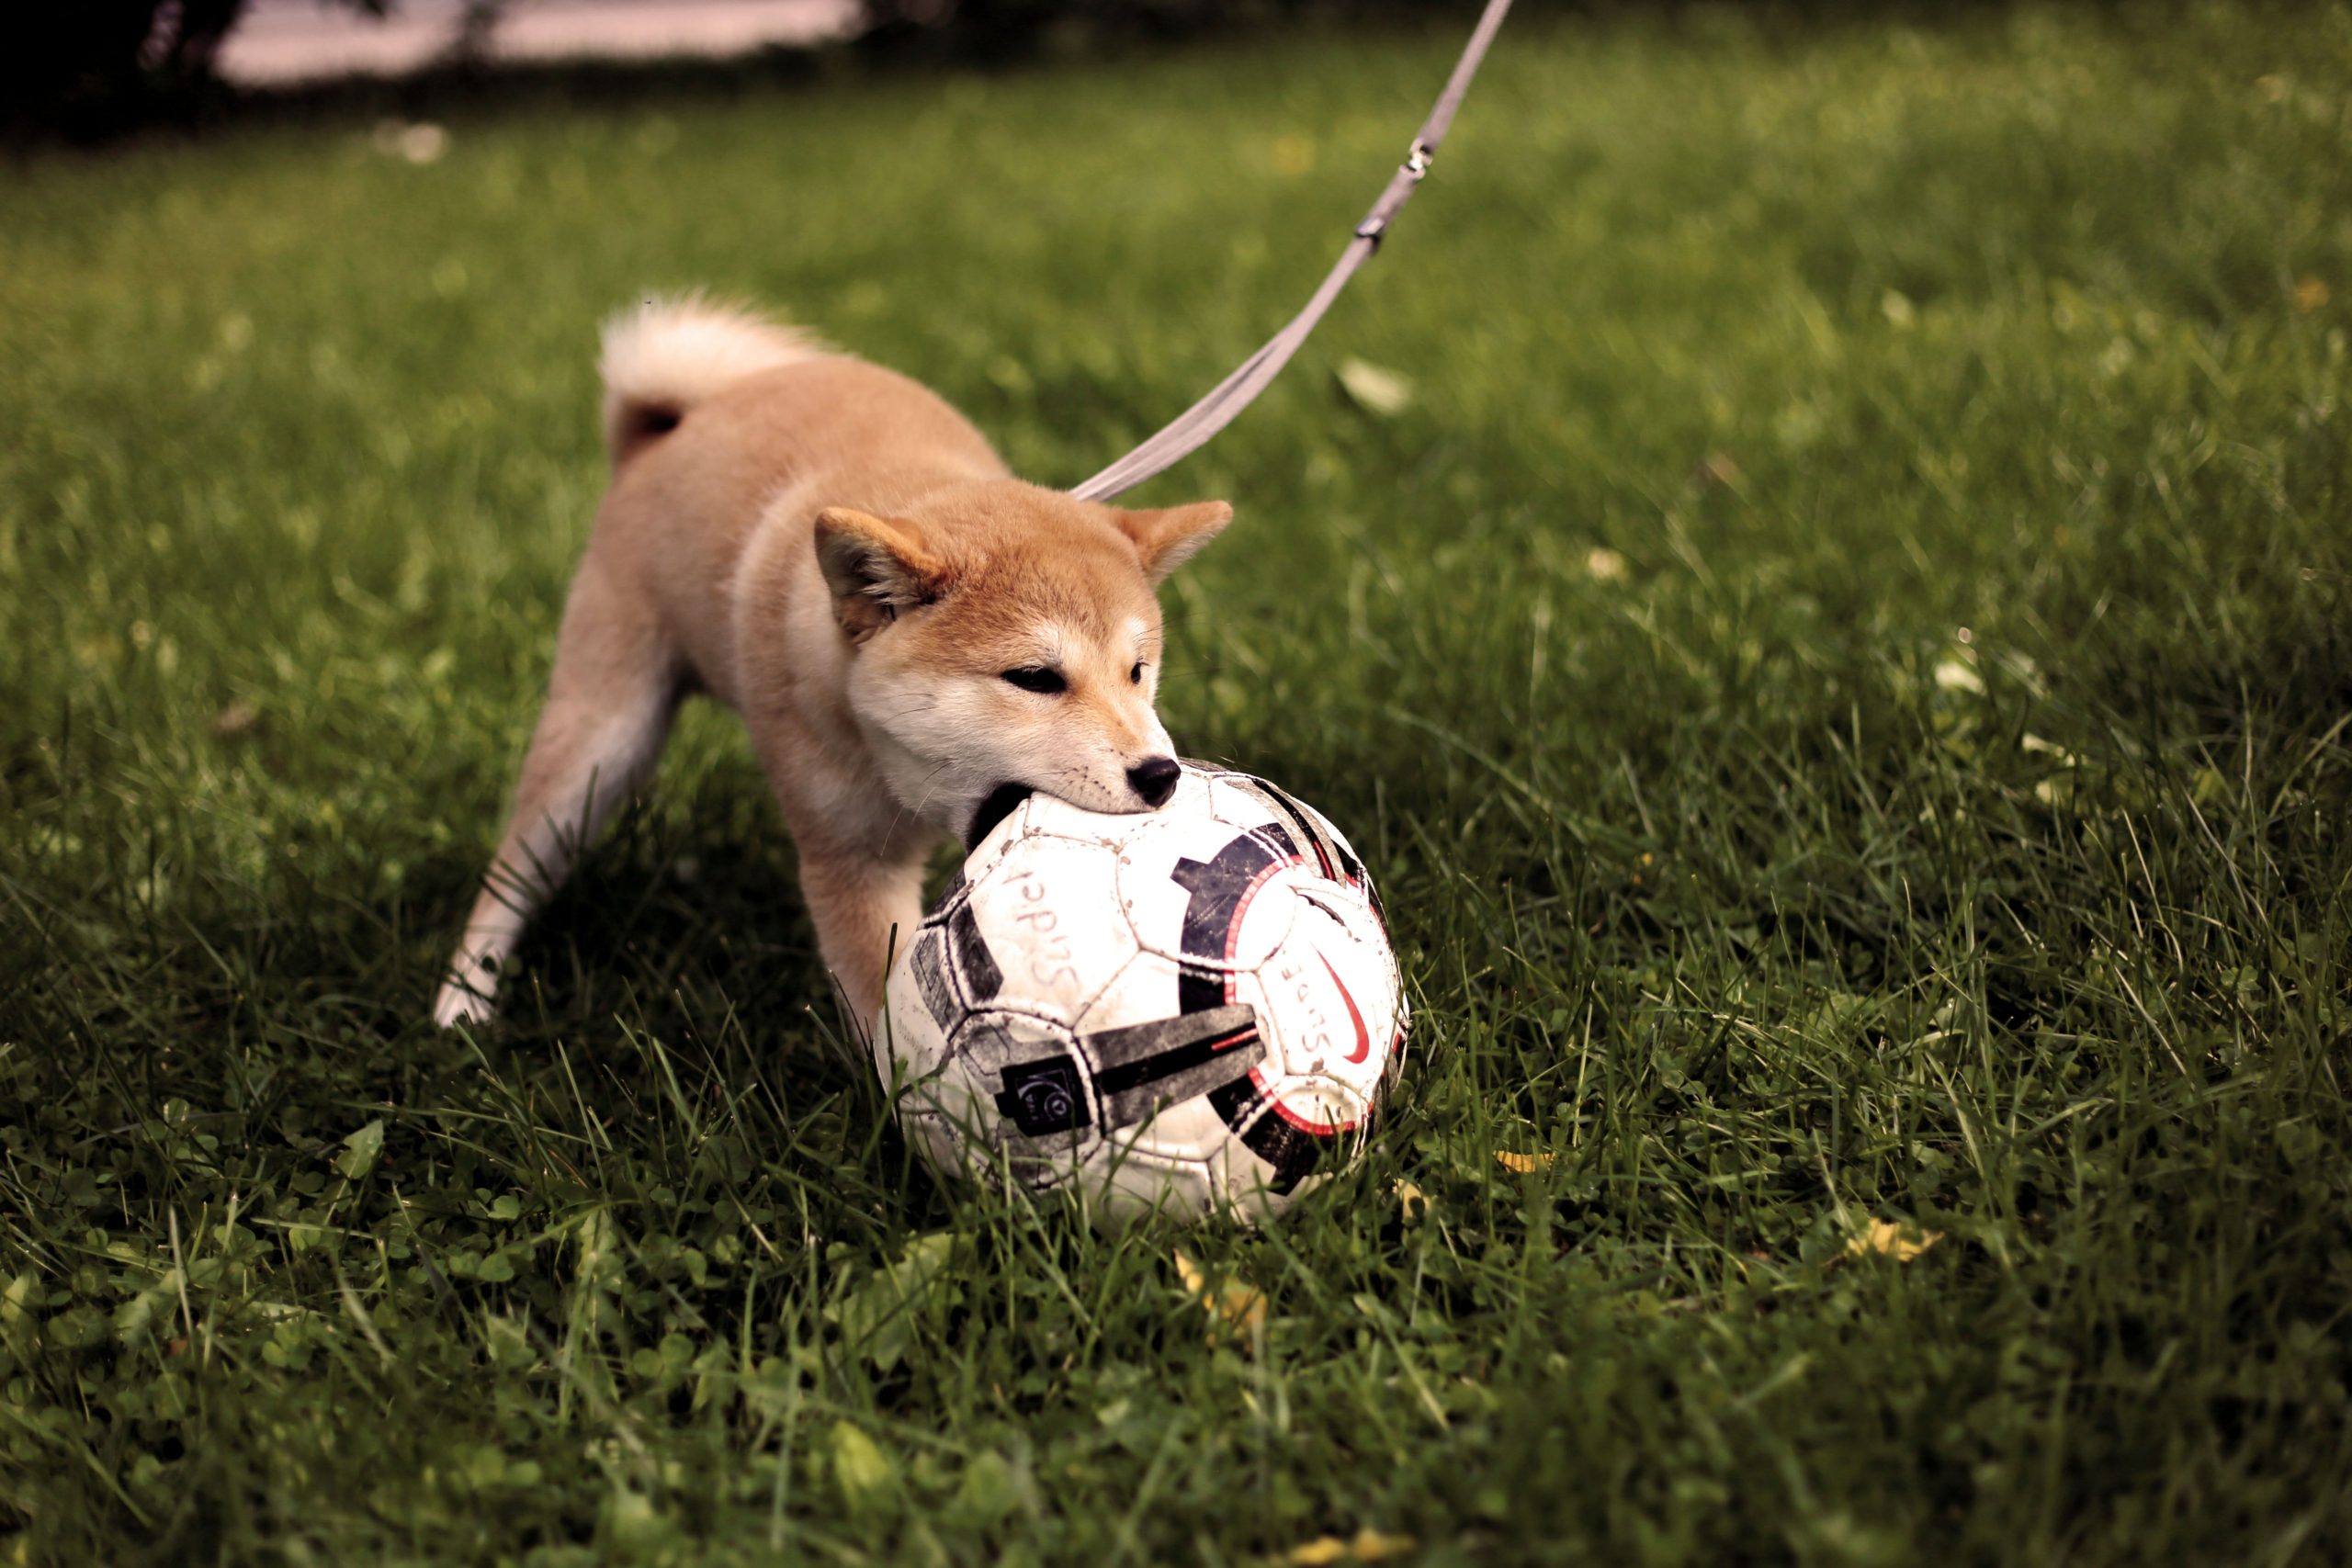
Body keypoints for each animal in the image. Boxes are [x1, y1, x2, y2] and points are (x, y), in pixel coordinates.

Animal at [433, 296, 1232, 1034]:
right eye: (1035, 678)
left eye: (1138, 670)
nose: (1161, 775)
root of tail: (665, 429)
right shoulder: (849, 858)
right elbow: (883, 1007)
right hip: (602, 737)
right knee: (514, 868)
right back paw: (465, 1000)